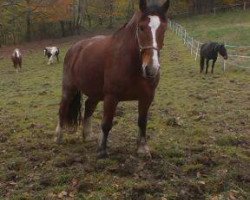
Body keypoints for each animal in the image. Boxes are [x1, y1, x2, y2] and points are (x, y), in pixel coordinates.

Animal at [54, 0, 170, 159]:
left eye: (164, 29)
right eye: (141, 28)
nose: (151, 69)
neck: (132, 63)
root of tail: (75, 48)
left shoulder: (147, 97)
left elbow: (142, 121)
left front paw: (142, 148)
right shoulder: (111, 96)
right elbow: (106, 123)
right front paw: (102, 151)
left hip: (95, 93)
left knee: (89, 107)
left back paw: (87, 135)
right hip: (69, 89)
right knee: (62, 108)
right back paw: (58, 137)